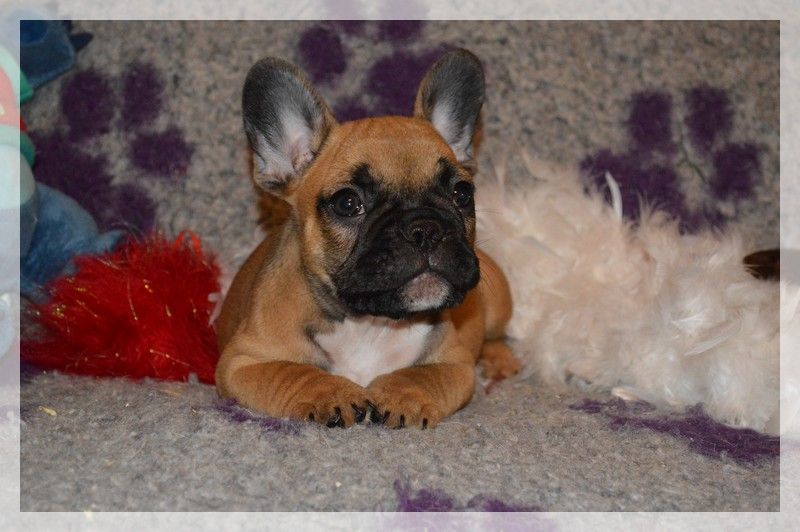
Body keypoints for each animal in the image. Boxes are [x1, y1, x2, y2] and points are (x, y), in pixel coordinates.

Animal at [215, 49, 519, 429]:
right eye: (348, 203)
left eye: (462, 194)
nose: (425, 228)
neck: (369, 322)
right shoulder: (242, 362)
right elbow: (293, 372)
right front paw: (331, 393)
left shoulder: (454, 363)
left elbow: (422, 375)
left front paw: (402, 395)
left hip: (497, 302)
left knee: (498, 334)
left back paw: (500, 360)